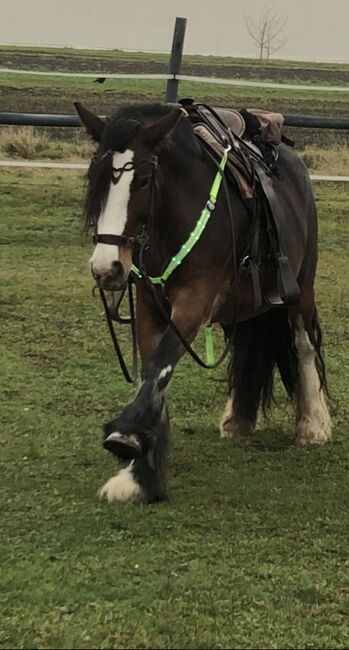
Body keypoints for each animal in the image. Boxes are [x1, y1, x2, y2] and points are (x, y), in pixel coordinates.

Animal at [75, 101, 330, 504]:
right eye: (96, 179)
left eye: (143, 181)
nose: (106, 268)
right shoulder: (150, 304)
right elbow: (155, 371)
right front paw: (140, 474)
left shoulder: (195, 299)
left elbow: (159, 366)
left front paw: (126, 437)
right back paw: (238, 419)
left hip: (300, 290)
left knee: (303, 345)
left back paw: (312, 425)